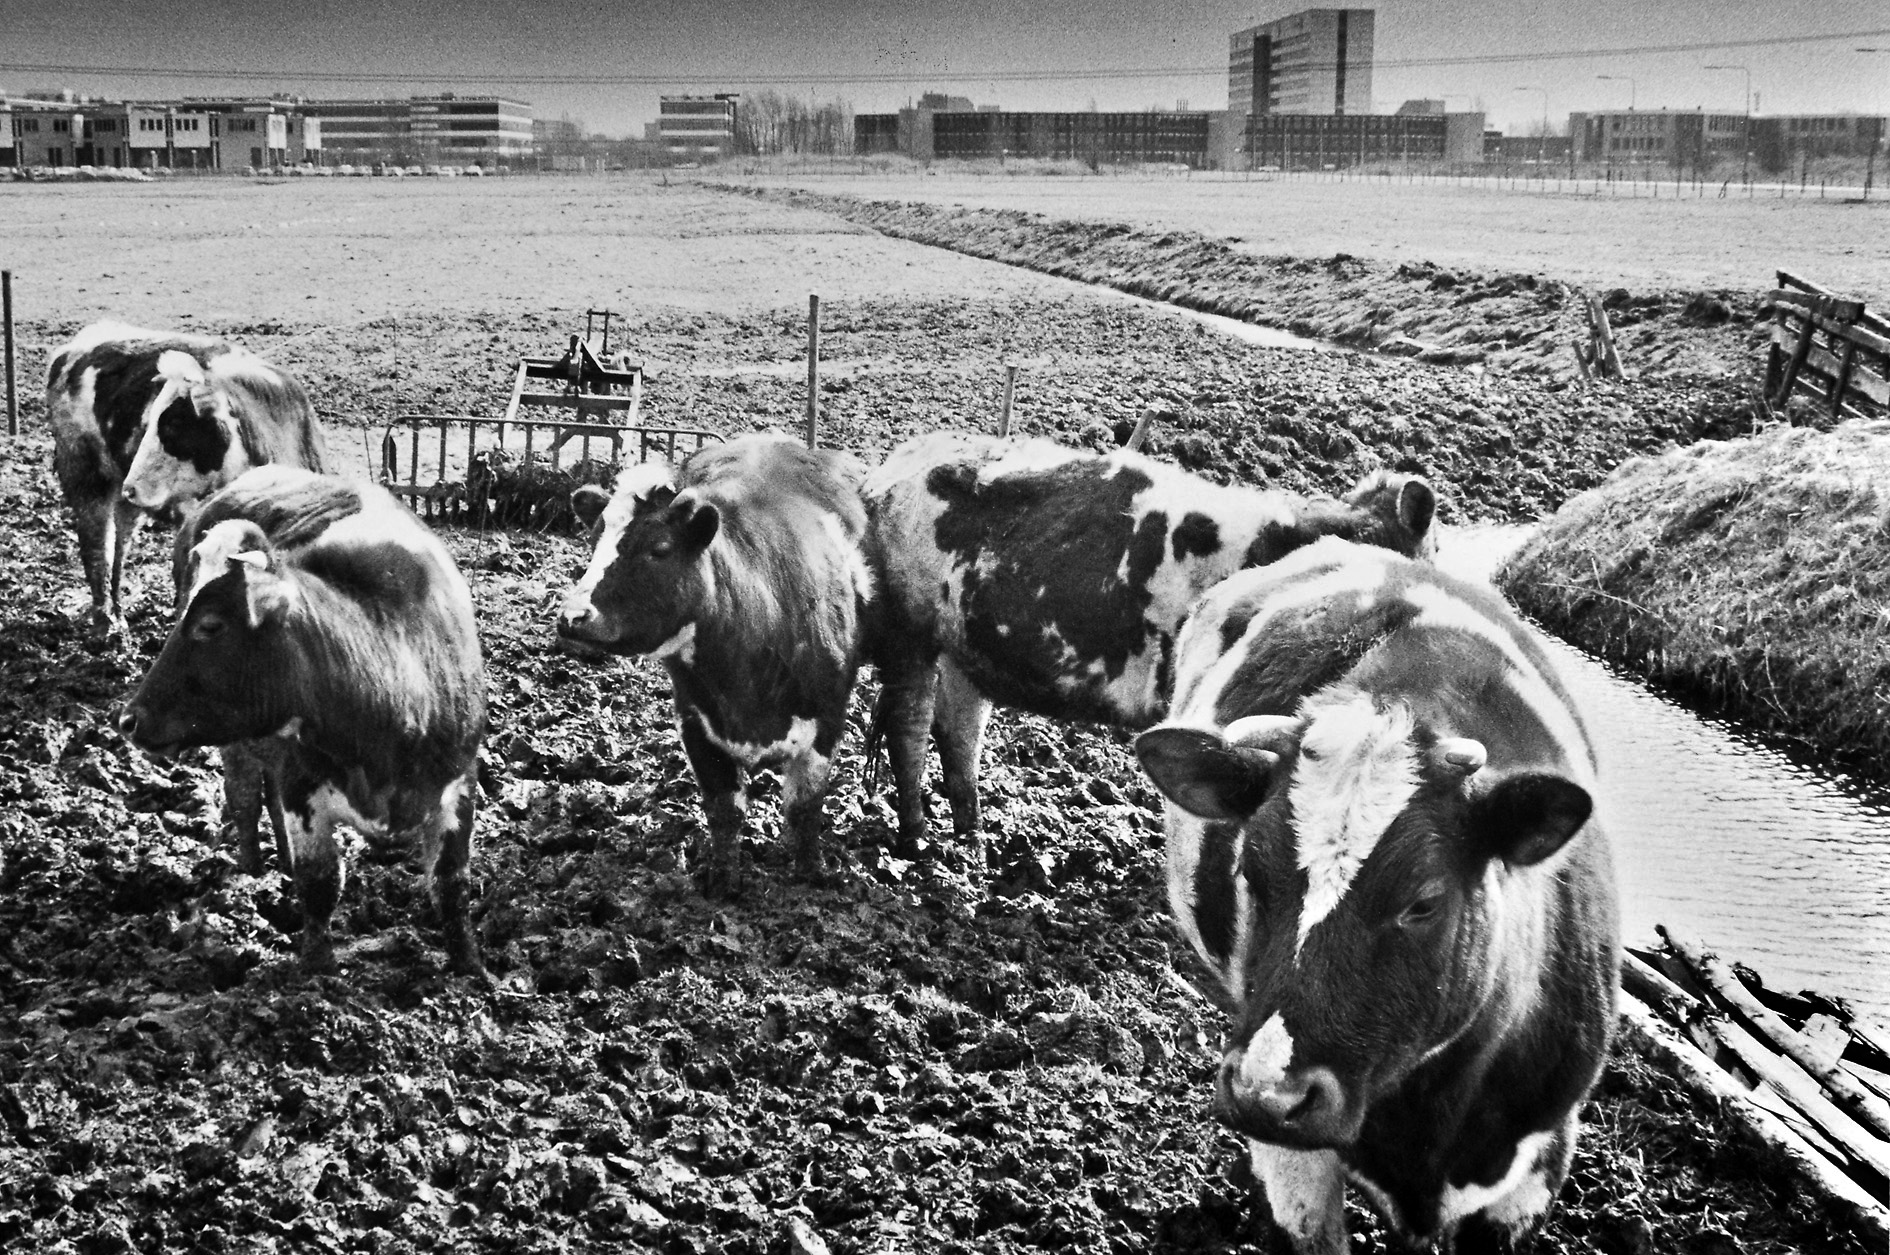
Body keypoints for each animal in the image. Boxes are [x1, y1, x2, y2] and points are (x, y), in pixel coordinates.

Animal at [46, 323, 325, 638]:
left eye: (173, 424)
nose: (133, 487)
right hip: (87, 477)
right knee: (97, 550)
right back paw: (103, 623)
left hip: (124, 496)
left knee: (119, 545)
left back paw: (118, 615)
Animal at [118, 464, 487, 975]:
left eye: (210, 625)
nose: (129, 720)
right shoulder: (302, 784)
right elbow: (320, 881)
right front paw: (316, 970)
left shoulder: (460, 782)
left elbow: (452, 886)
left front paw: (472, 968)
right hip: (239, 744)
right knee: (246, 797)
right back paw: (254, 869)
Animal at [548, 436, 869, 895]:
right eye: (594, 543)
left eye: (660, 549)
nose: (572, 616)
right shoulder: (696, 725)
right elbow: (724, 809)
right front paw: (723, 881)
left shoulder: (827, 723)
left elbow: (805, 806)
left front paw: (811, 872)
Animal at [858, 427, 1428, 858]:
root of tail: (896, 464)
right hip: (909, 637)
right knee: (910, 727)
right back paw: (916, 840)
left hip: (965, 650)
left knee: (959, 731)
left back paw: (973, 839)